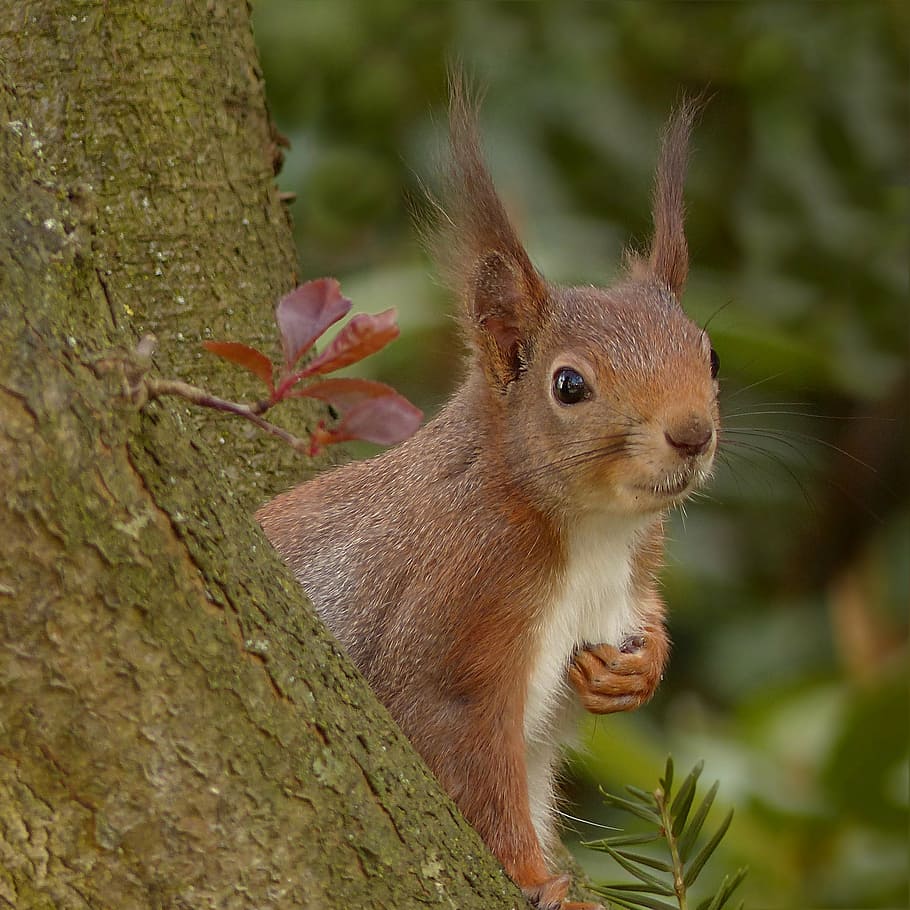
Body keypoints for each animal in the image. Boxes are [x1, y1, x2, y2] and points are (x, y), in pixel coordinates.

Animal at [258, 83, 719, 910]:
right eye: (569, 385)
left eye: (713, 355)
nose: (693, 434)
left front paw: (638, 669)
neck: (593, 530)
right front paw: (541, 882)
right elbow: (462, 760)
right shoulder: (458, 609)